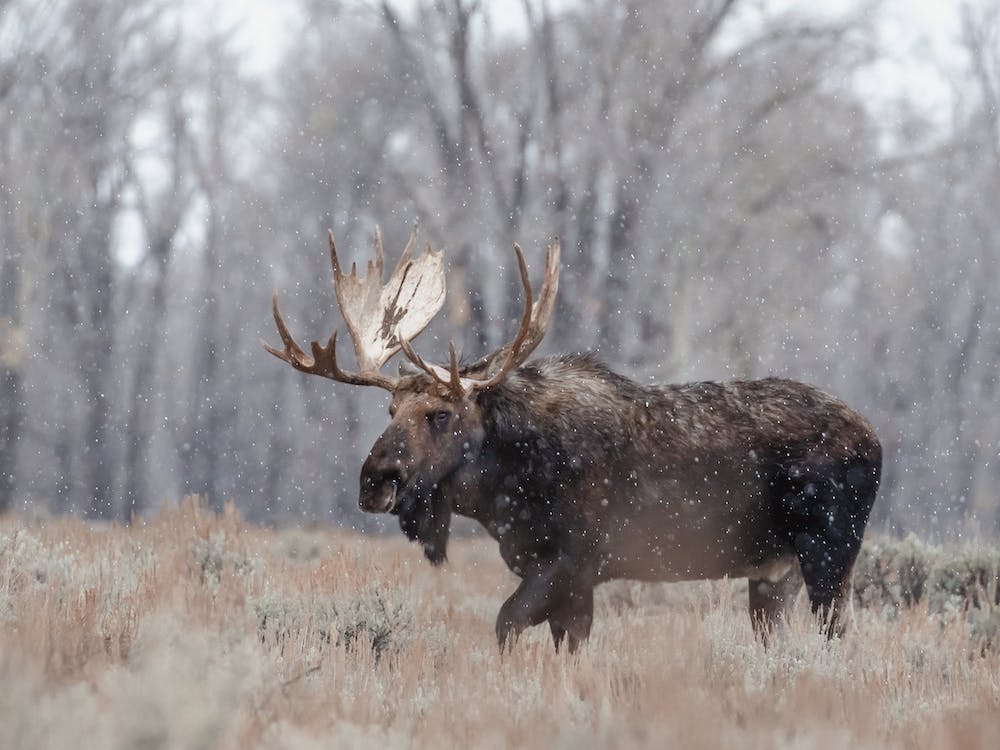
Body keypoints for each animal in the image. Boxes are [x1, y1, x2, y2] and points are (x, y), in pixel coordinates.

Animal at [265, 226, 882, 653]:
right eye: (390, 408)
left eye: (440, 414)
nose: (374, 482)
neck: (501, 492)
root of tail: (876, 439)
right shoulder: (565, 578)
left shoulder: (573, 562)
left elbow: (505, 625)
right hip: (773, 574)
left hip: (830, 554)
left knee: (839, 635)